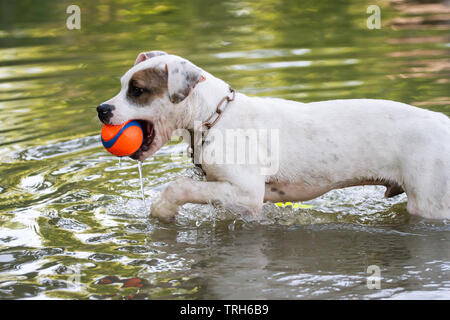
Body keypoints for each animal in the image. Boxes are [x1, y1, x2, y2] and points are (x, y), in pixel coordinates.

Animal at [98, 51, 450, 221]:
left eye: (137, 90)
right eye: (122, 84)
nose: (101, 109)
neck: (215, 117)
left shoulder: (246, 193)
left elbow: (178, 187)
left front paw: (162, 209)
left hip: (430, 205)